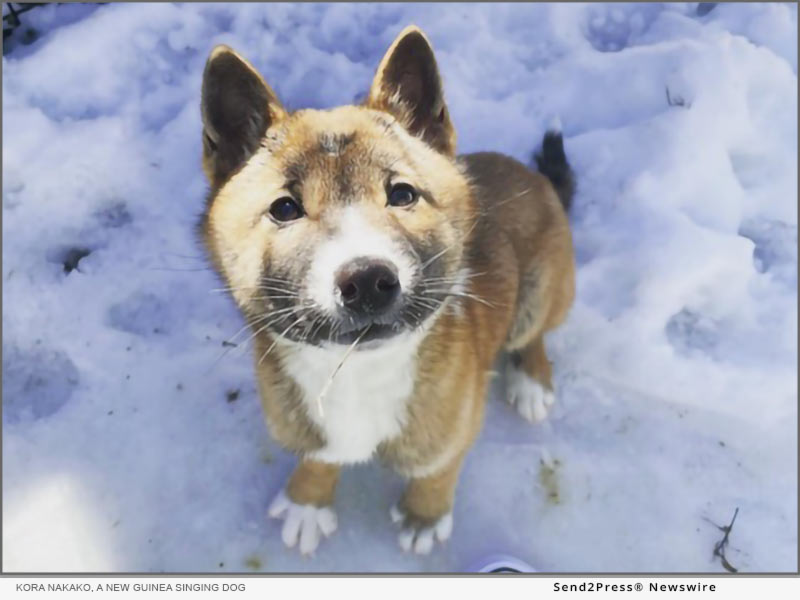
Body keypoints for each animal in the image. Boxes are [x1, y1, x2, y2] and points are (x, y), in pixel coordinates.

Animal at [200, 25, 576, 556]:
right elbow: (320, 454)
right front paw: (307, 500)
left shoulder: (454, 426)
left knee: (534, 332)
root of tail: (535, 176)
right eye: (284, 208)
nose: (366, 281)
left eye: (402, 194)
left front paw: (425, 514)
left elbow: (438, 467)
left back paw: (531, 381)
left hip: (545, 286)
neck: (355, 371)